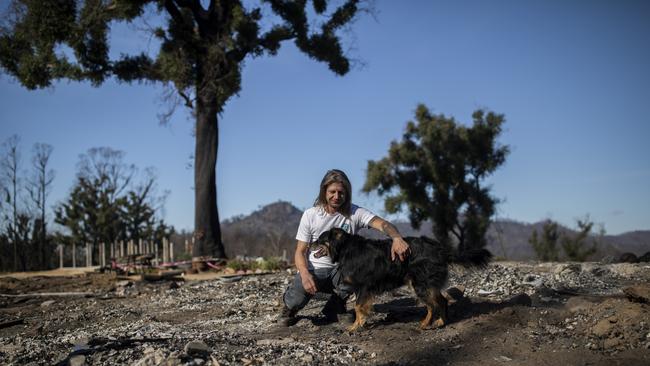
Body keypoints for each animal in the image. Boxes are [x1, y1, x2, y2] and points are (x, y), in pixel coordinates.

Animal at [312, 229, 488, 332]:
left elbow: (358, 307)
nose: (310, 243)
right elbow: (360, 307)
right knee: (442, 301)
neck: (346, 248)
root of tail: (440, 250)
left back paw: (426, 324)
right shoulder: (359, 288)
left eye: (320, 239)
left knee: (432, 305)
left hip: (420, 284)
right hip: (426, 284)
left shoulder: (364, 286)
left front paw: (356, 326)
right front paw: (360, 323)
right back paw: (441, 322)